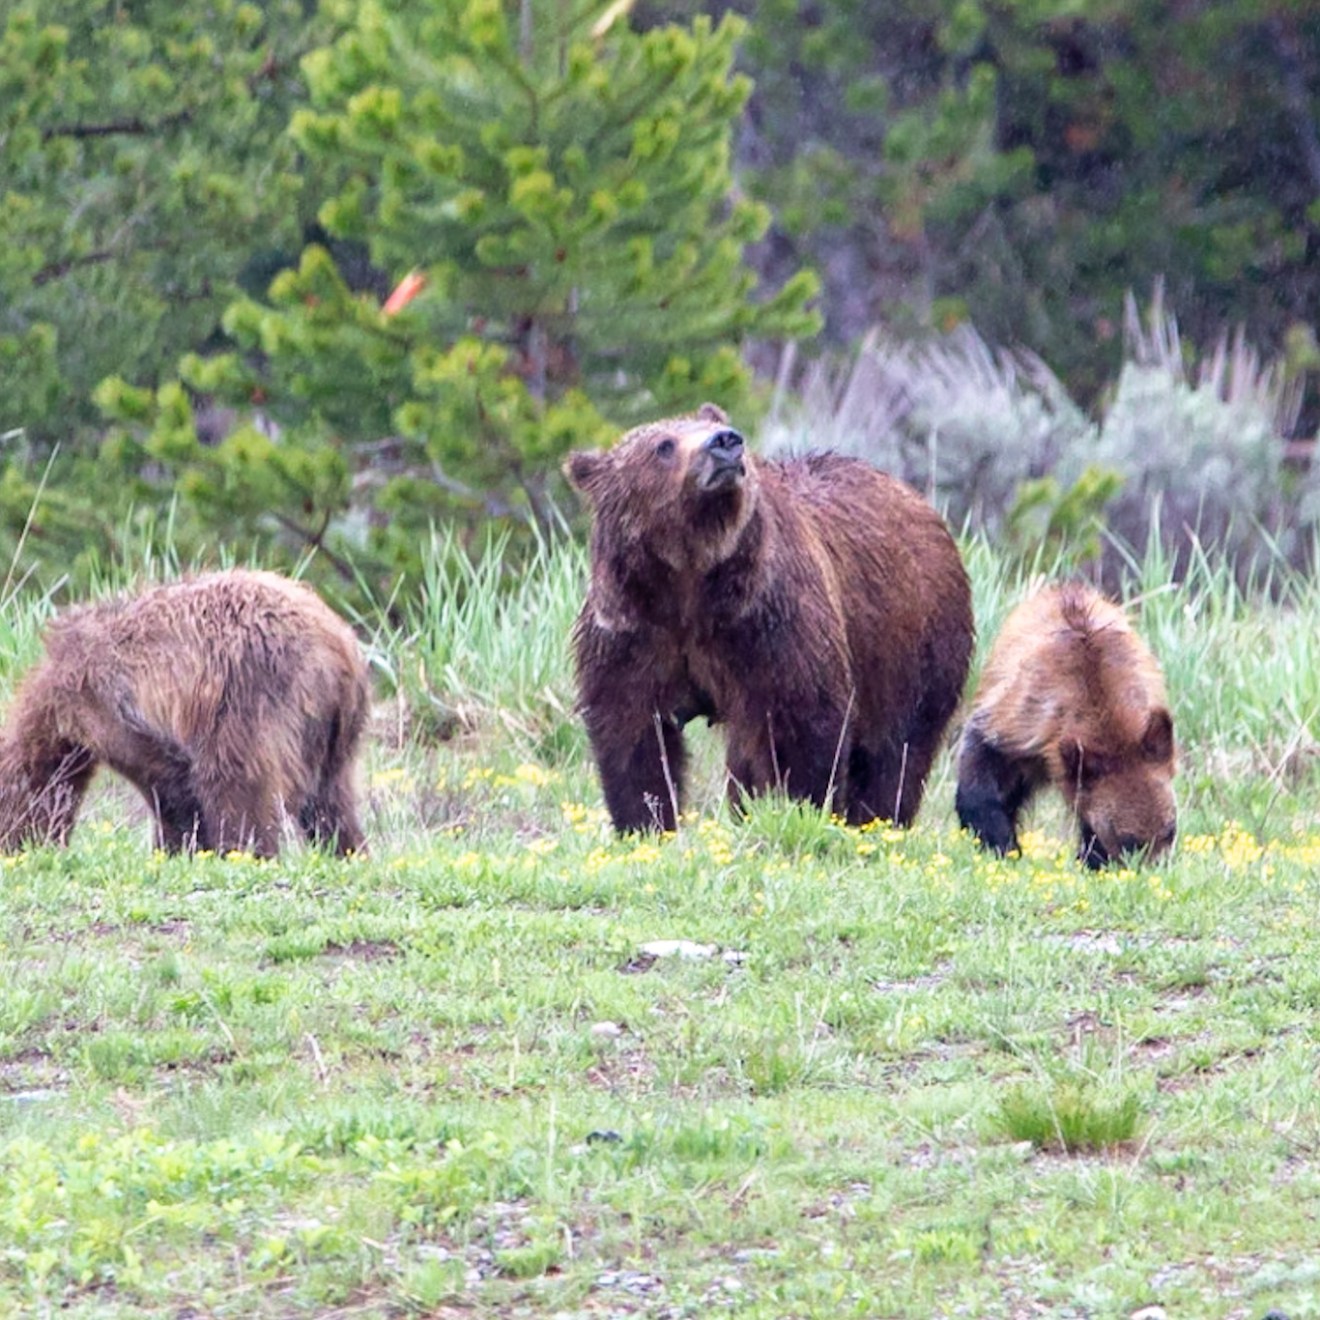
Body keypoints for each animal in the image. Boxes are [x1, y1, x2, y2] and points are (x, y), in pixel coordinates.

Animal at [0, 569, 370, 857]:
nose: (12, 848)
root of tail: (337, 647)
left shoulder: (107, 705)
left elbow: (168, 779)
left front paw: (176, 846)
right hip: (336, 730)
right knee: (331, 798)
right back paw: (348, 850)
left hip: (252, 694)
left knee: (236, 777)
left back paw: (245, 851)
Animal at [565, 402, 975, 833]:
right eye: (663, 445)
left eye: (711, 427)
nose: (726, 441)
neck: (691, 580)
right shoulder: (634, 632)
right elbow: (632, 732)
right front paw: (646, 822)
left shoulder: (768, 624)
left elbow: (803, 720)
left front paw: (798, 807)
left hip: (911, 646)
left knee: (896, 749)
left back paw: (877, 819)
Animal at [954, 581, 1177, 868]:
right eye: (1129, 841)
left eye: (1170, 829)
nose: (1157, 867)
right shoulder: (1018, 721)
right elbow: (983, 777)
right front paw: (1003, 844)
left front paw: (1092, 857)